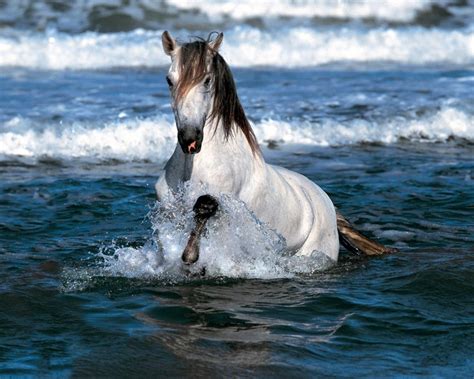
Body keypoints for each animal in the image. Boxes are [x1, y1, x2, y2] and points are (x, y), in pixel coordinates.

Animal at [155, 31, 392, 266]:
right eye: (169, 80)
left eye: (207, 80)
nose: (190, 139)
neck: (194, 167)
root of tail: (328, 205)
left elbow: (205, 207)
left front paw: (190, 255)